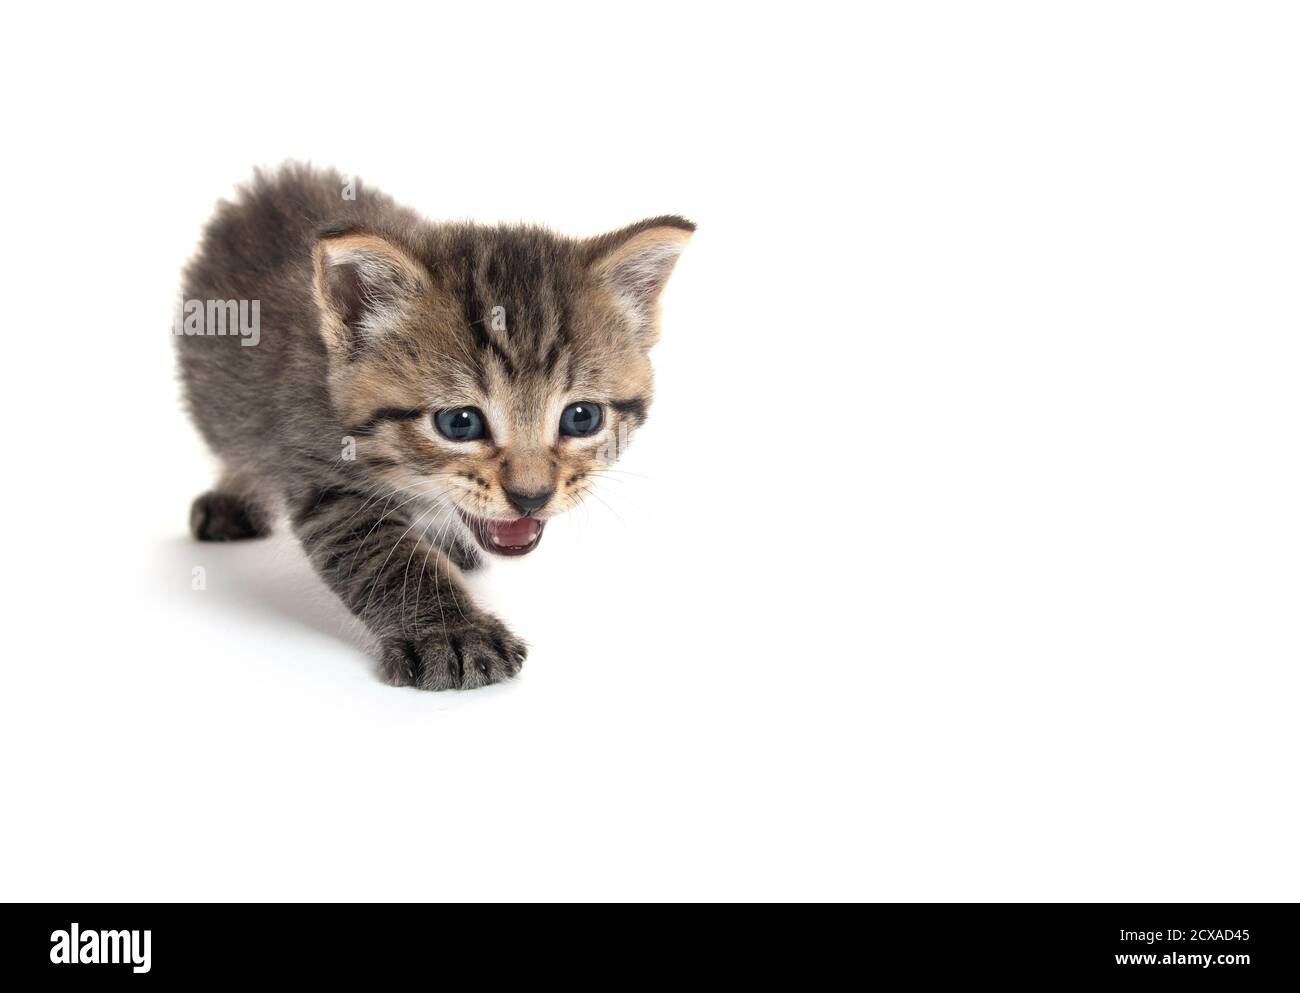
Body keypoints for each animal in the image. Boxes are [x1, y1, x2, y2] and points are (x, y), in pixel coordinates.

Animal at [180, 165, 702, 691]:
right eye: (459, 422)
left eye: (582, 417)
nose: (531, 497)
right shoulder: (325, 474)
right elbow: (389, 561)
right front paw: (453, 634)